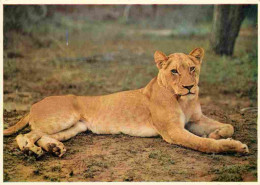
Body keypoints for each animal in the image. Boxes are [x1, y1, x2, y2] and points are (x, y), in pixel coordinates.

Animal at [3, 47, 248, 157]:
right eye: (174, 71)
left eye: (192, 68)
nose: (189, 87)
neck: (183, 101)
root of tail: (34, 104)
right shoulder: (173, 131)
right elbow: (203, 144)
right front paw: (233, 146)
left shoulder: (194, 119)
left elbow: (228, 125)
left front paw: (217, 133)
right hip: (64, 117)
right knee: (25, 135)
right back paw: (32, 150)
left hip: (75, 127)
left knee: (42, 135)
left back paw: (54, 148)